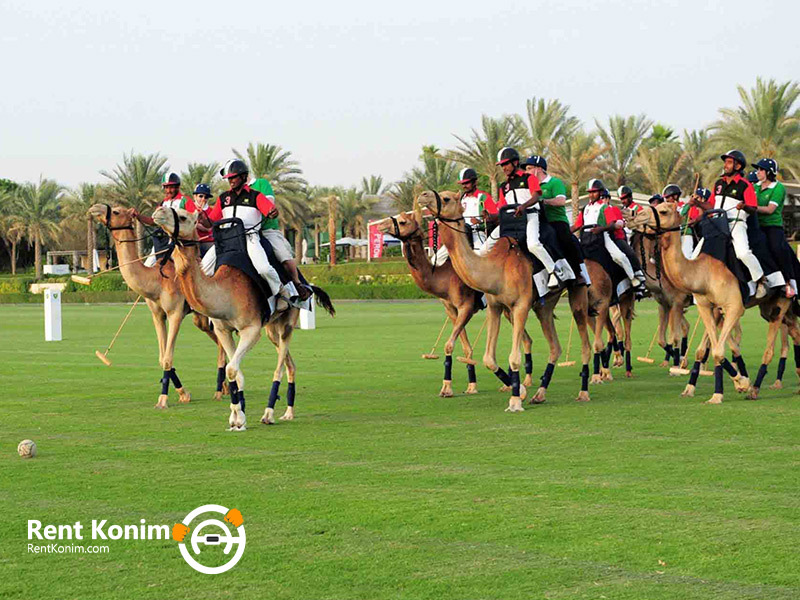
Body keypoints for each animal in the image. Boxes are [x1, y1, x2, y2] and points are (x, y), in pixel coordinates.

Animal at [89, 205, 227, 408]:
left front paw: (164, 400)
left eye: (116, 212)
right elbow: (162, 358)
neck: (156, 281)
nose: (94, 208)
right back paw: (224, 387)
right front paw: (183, 394)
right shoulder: (157, 314)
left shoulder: (175, 312)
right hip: (200, 317)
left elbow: (168, 357)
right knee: (219, 341)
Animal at [152, 206, 334, 432]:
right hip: (272, 328)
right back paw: (288, 413)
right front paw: (237, 418)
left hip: (288, 322)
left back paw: (269, 414)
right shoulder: (223, 330)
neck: (225, 291)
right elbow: (236, 372)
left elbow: (231, 369)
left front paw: (239, 418)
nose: (158, 211)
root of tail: (304, 281)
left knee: (280, 366)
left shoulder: (251, 330)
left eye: (183, 216)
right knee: (290, 364)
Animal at [418, 190, 592, 410]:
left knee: (585, 343)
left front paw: (515, 400)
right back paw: (540, 394)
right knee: (555, 346)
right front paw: (522, 391)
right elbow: (488, 358)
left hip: (577, 292)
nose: (423, 196)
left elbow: (514, 357)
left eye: (447, 198)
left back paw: (583, 392)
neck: (498, 269)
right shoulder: (495, 306)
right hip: (544, 306)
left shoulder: (521, 306)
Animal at [628, 204, 796, 406]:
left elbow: (716, 349)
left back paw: (755, 390)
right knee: (792, 332)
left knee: (770, 349)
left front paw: (734, 387)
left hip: (782, 302)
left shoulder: (733, 306)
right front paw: (703, 389)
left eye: (664, 211)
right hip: (768, 308)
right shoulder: (705, 306)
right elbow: (706, 349)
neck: (702, 273)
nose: (634, 217)